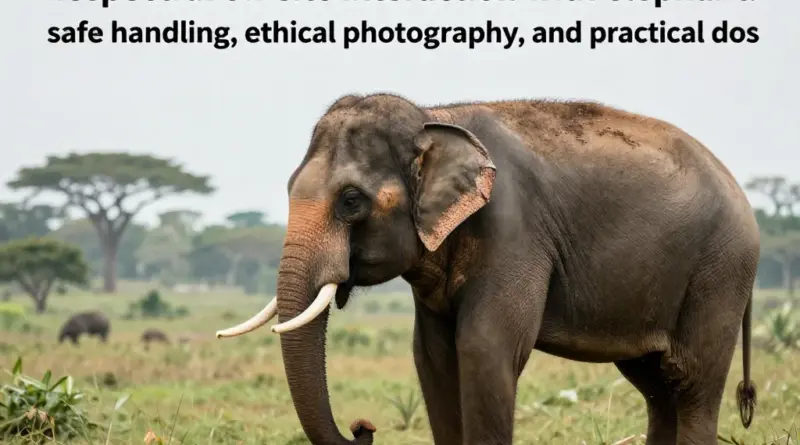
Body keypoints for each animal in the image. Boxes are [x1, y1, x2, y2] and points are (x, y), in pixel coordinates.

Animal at [216, 93, 760, 445]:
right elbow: (433, 357)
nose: (363, 427)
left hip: (720, 271)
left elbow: (484, 348)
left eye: (351, 200)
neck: (434, 119)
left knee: (691, 383)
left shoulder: (513, 233)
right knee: (655, 386)